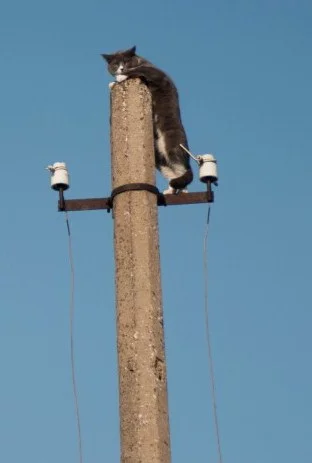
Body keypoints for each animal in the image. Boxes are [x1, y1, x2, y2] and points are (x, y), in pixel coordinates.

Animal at [102, 45, 193, 194]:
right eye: (115, 64)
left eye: (126, 62)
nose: (121, 68)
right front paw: (113, 82)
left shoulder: (156, 73)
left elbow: (139, 70)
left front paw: (121, 77)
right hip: (159, 158)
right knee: (172, 173)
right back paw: (170, 191)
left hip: (172, 145)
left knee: (183, 169)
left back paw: (184, 190)